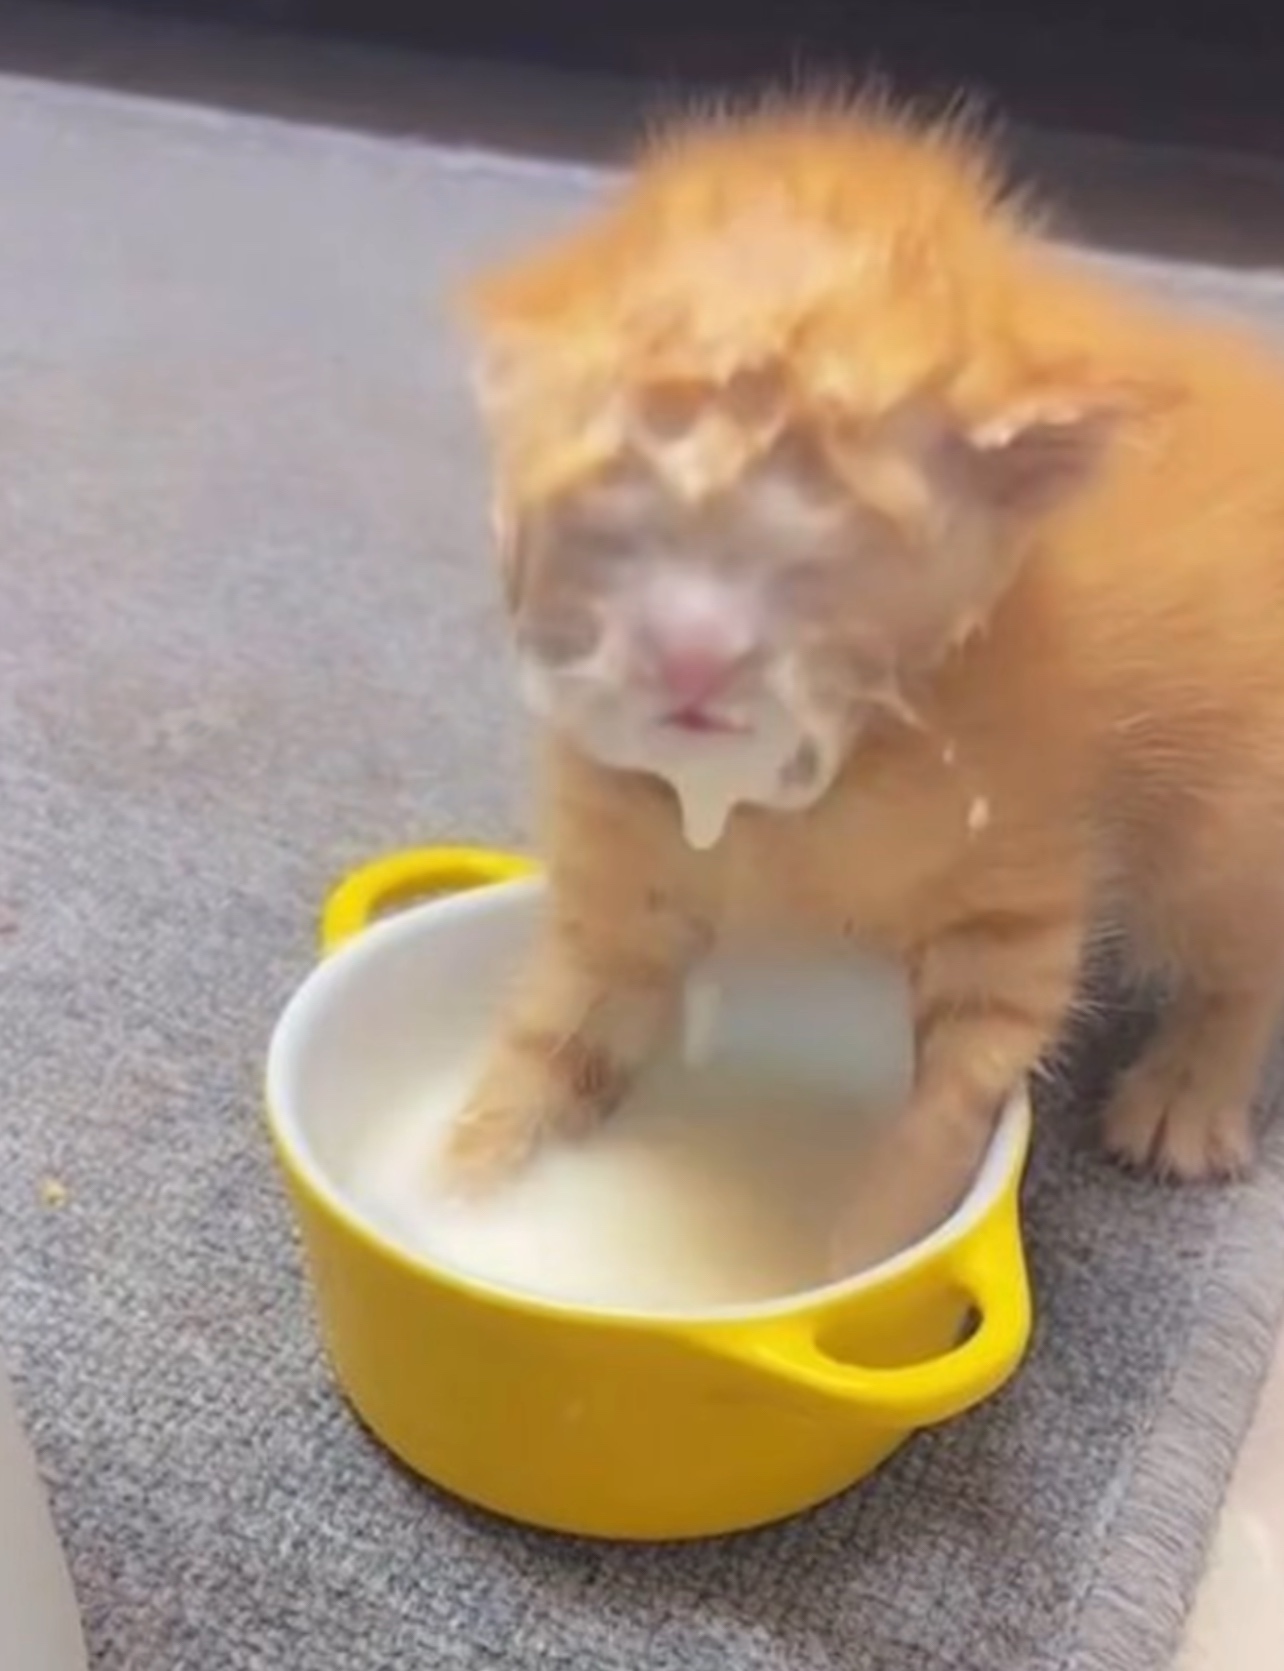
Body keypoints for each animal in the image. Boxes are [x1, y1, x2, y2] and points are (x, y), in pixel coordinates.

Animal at [441, 98, 1284, 1271]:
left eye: (816, 556)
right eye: (622, 523)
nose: (693, 653)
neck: (785, 798)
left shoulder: (1011, 913)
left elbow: (934, 1132)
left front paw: (851, 1263)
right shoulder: (618, 891)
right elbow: (546, 1043)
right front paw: (454, 1204)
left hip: (1224, 820)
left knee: (1246, 948)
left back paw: (1194, 1088)